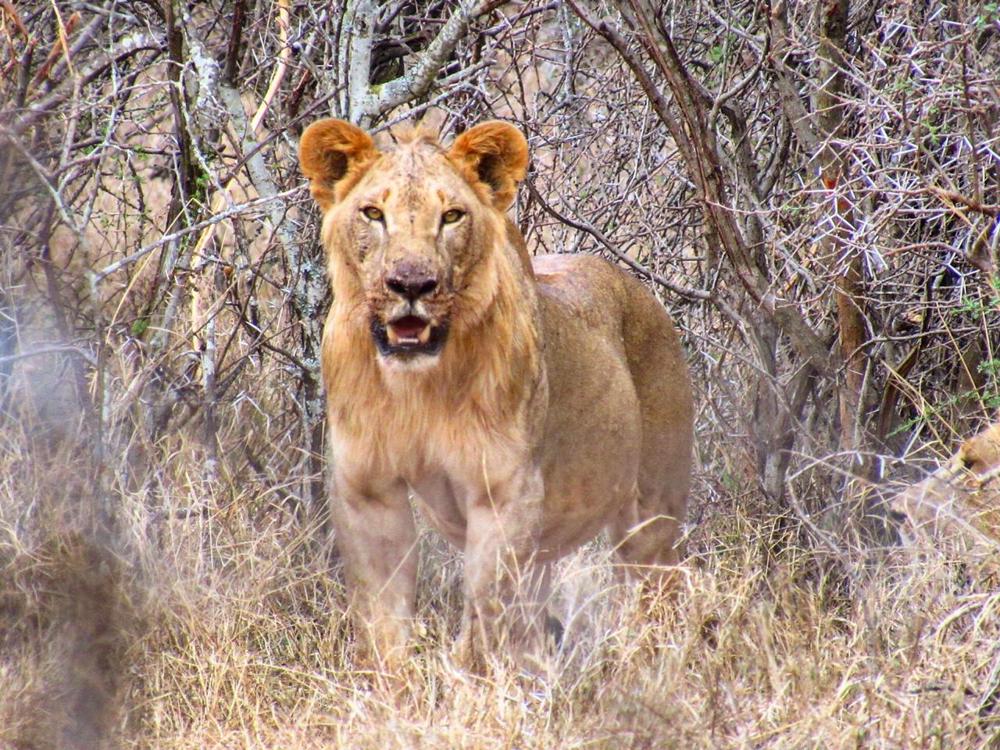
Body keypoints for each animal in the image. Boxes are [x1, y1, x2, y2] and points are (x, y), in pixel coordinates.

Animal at [298, 118, 694, 667]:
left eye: (452, 216)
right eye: (373, 213)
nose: (411, 285)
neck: (418, 388)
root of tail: (638, 289)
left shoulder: (504, 493)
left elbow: (483, 618)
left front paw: (467, 684)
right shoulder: (367, 490)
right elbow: (385, 628)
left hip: (650, 516)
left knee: (658, 597)